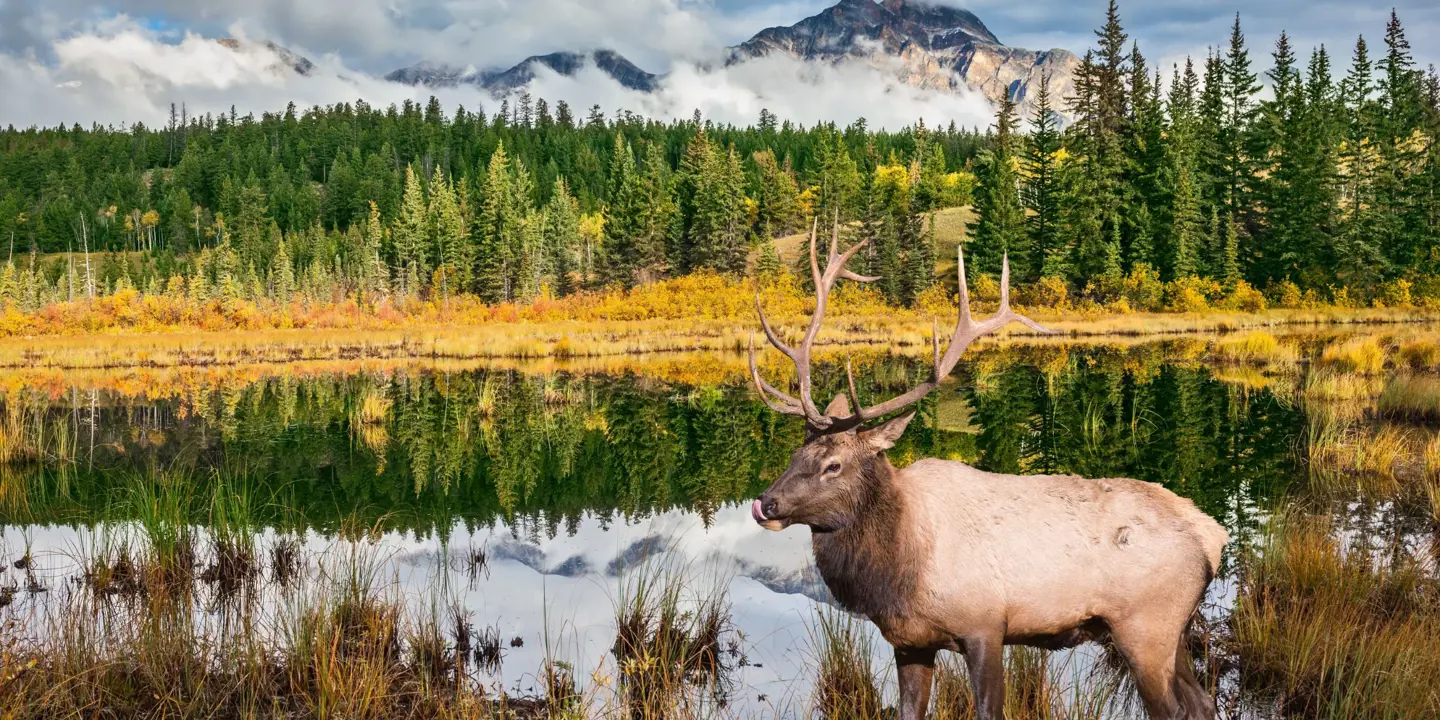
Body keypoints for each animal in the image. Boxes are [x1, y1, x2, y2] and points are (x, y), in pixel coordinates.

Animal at [743, 220, 1226, 720]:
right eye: (794, 455)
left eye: (833, 465)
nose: (765, 503)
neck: (898, 571)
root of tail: (1213, 537)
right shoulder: (910, 642)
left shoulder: (986, 626)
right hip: (1172, 631)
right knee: (1202, 702)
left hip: (1145, 626)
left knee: (1174, 708)